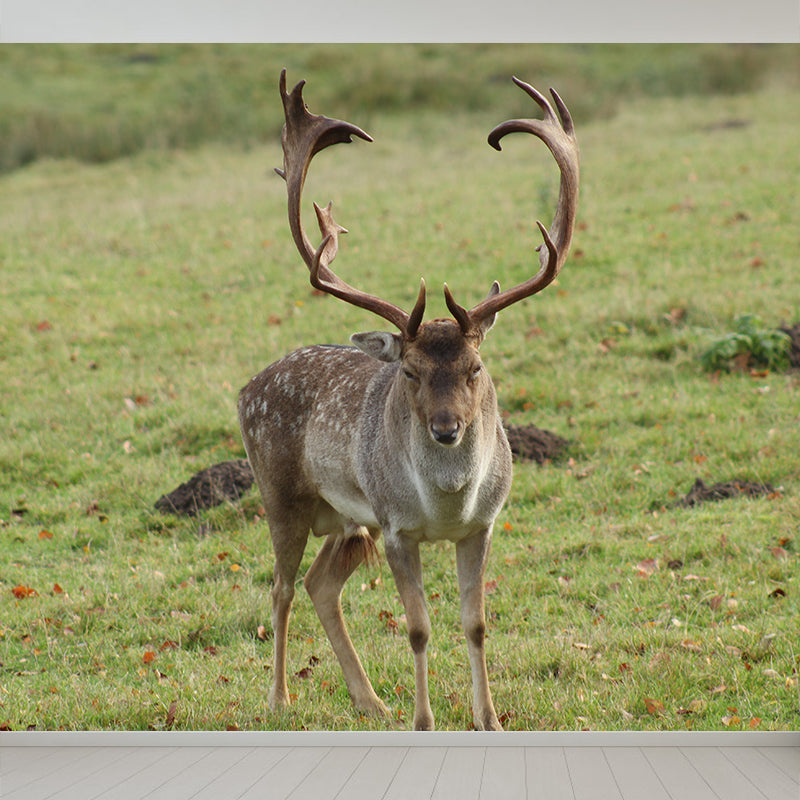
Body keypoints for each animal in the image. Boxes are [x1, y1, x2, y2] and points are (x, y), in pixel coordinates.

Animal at [238, 70, 579, 731]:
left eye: (476, 367)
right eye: (412, 372)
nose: (447, 429)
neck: (446, 506)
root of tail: (246, 388)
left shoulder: (482, 525)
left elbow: (475, 625)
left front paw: (488, 720)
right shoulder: (397, 528)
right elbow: (418, 629)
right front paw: (425, 722)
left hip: (348, 518)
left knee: (320, 584)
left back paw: (369, 700)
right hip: (281, 494)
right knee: (281, 587)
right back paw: (279, 699)